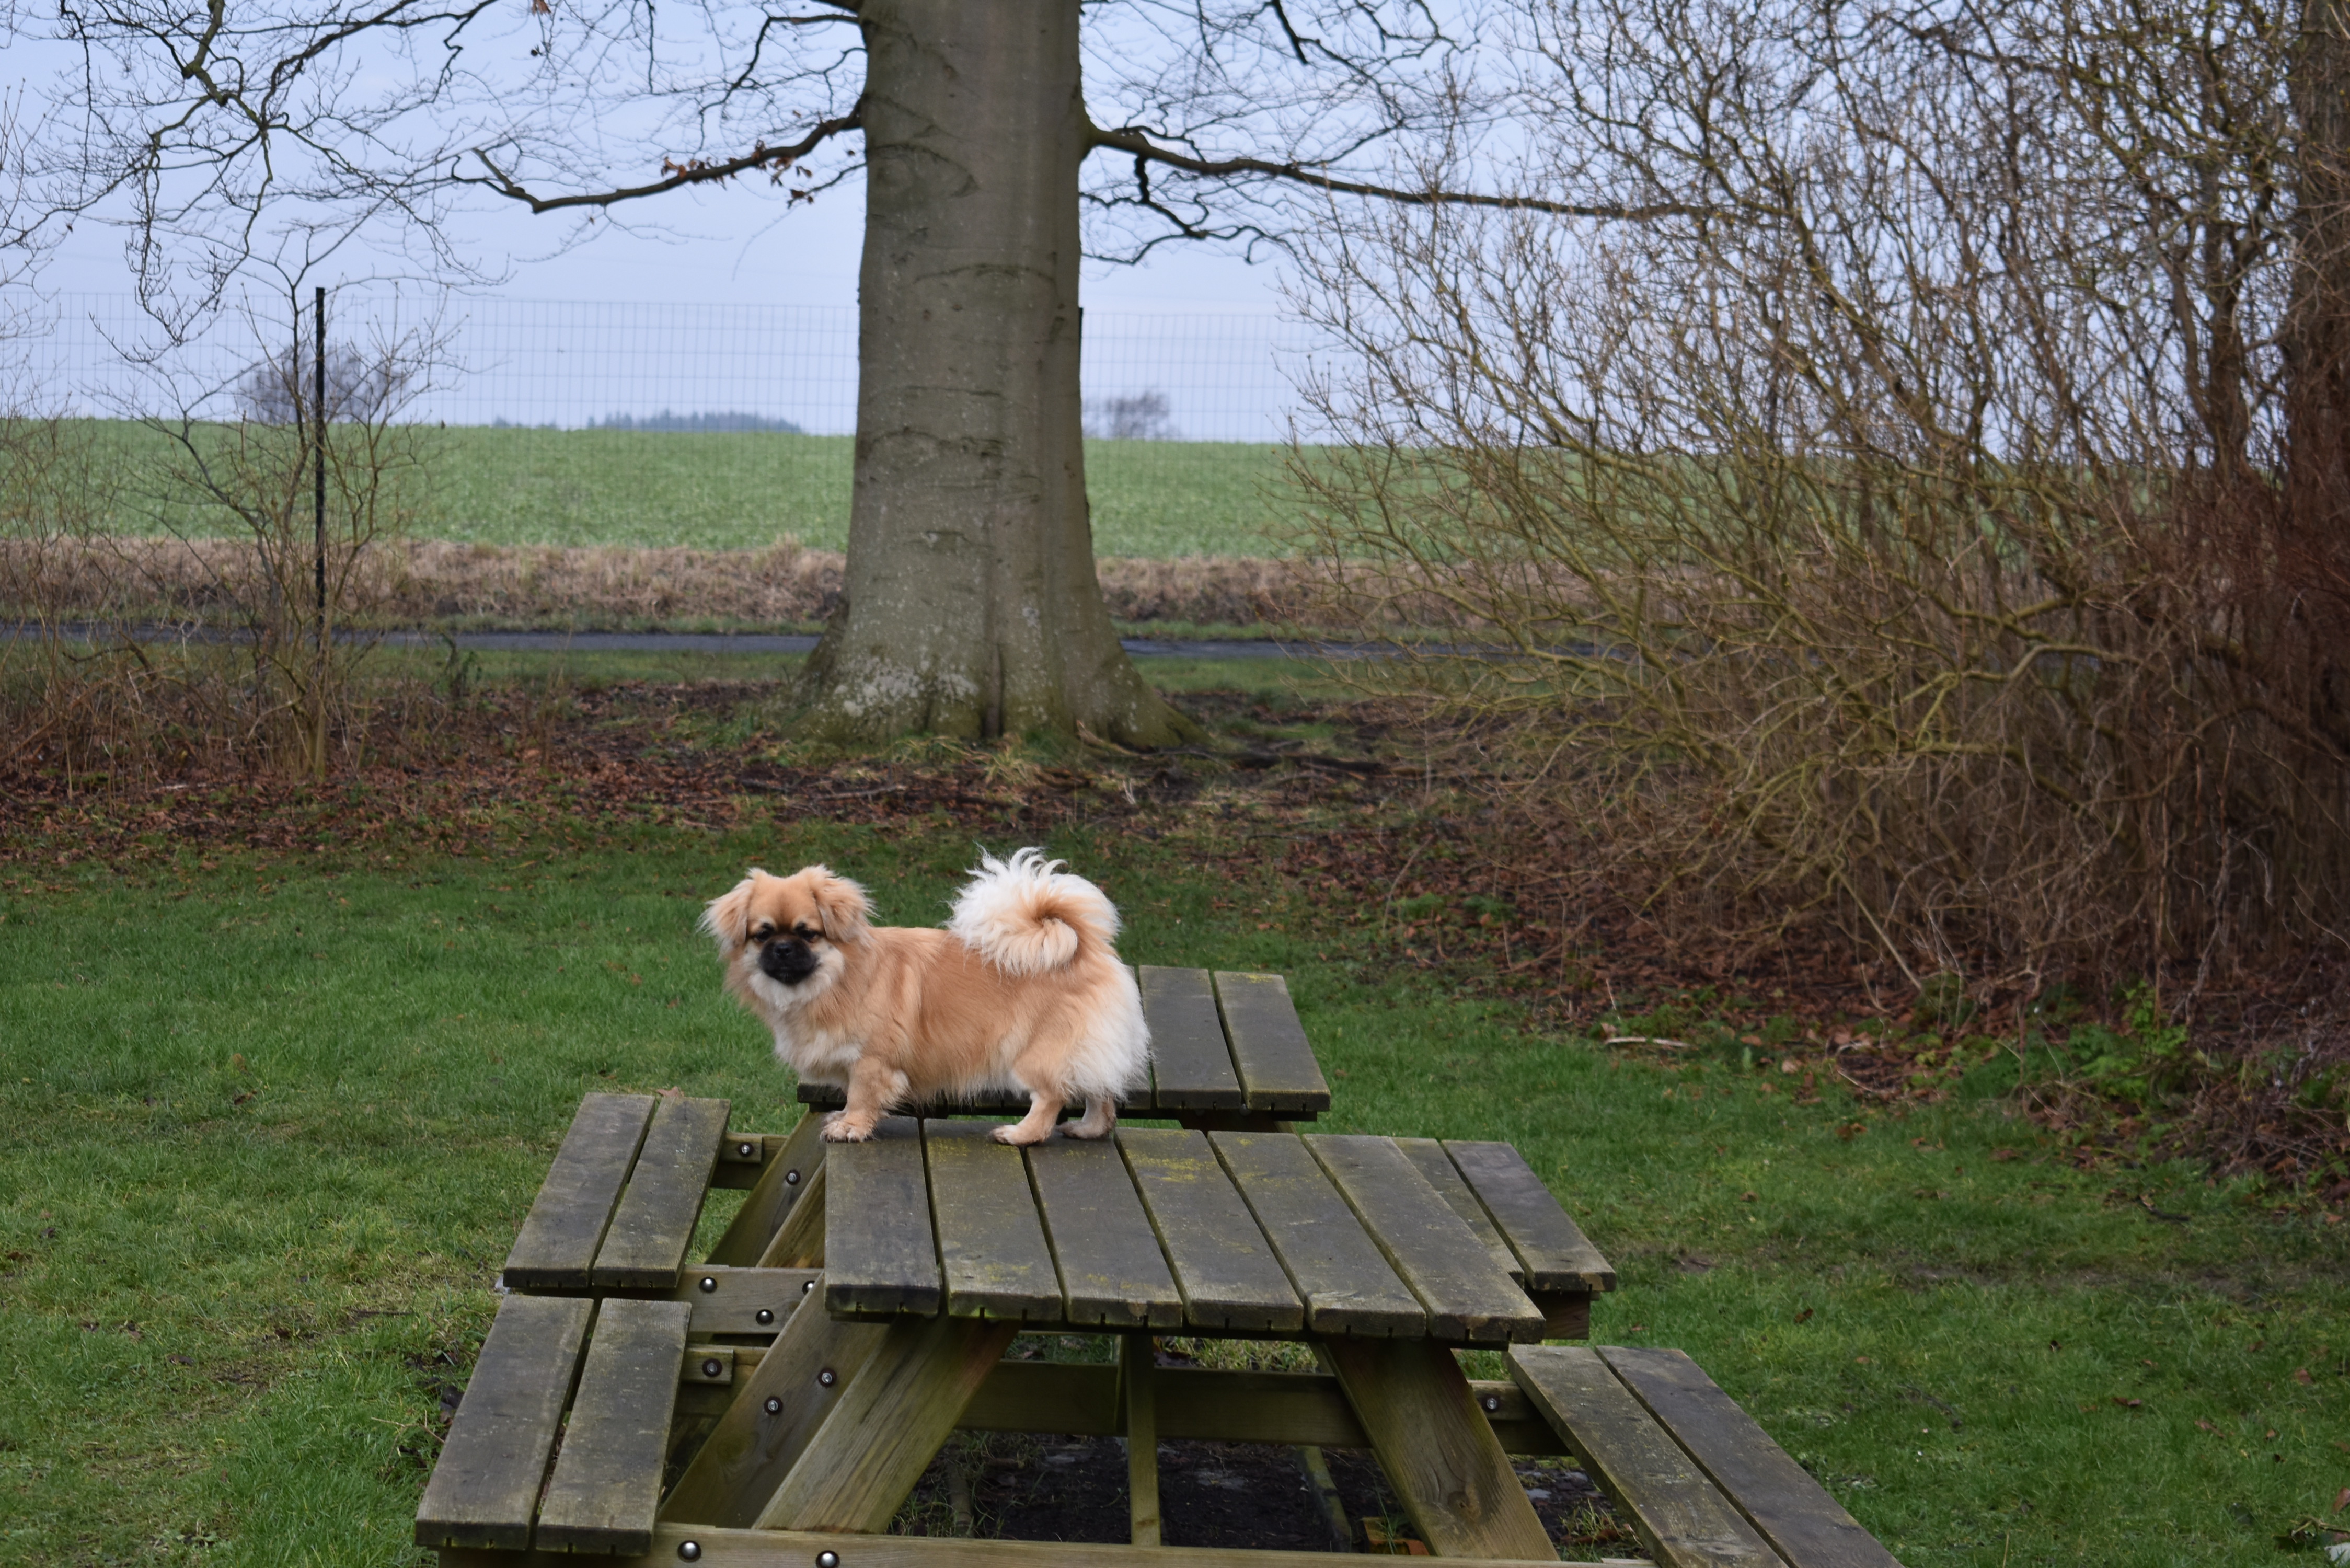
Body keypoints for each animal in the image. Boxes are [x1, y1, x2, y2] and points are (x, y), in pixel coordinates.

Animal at [701, 848, 1150, 1144]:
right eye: (762, 935)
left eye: (807, 933)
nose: (782, 949)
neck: (835, 981)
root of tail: (1084, 946)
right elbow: (851, 1094)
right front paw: (843, 1117)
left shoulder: (871, 1061)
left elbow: (862, 1094)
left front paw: (851, 1127)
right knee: (1101, 1093)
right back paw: (1089, 1130)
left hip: (1035, 1055)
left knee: (1053, 1097)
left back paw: (1020, 1134)